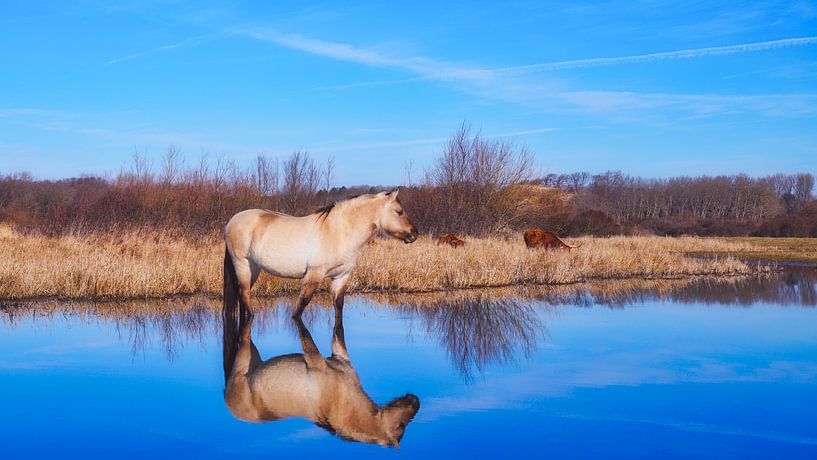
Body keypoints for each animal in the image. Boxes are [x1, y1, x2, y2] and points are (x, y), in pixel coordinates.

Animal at [224, 191, 418, 318]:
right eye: (399, 211)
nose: (414, 234)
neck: (338, 231)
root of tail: (232, 221)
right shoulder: (314, 275)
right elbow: (300, 308)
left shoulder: (341, 277)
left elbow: (338, 307)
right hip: (242, 264)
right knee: (245, 294)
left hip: (254, 269)